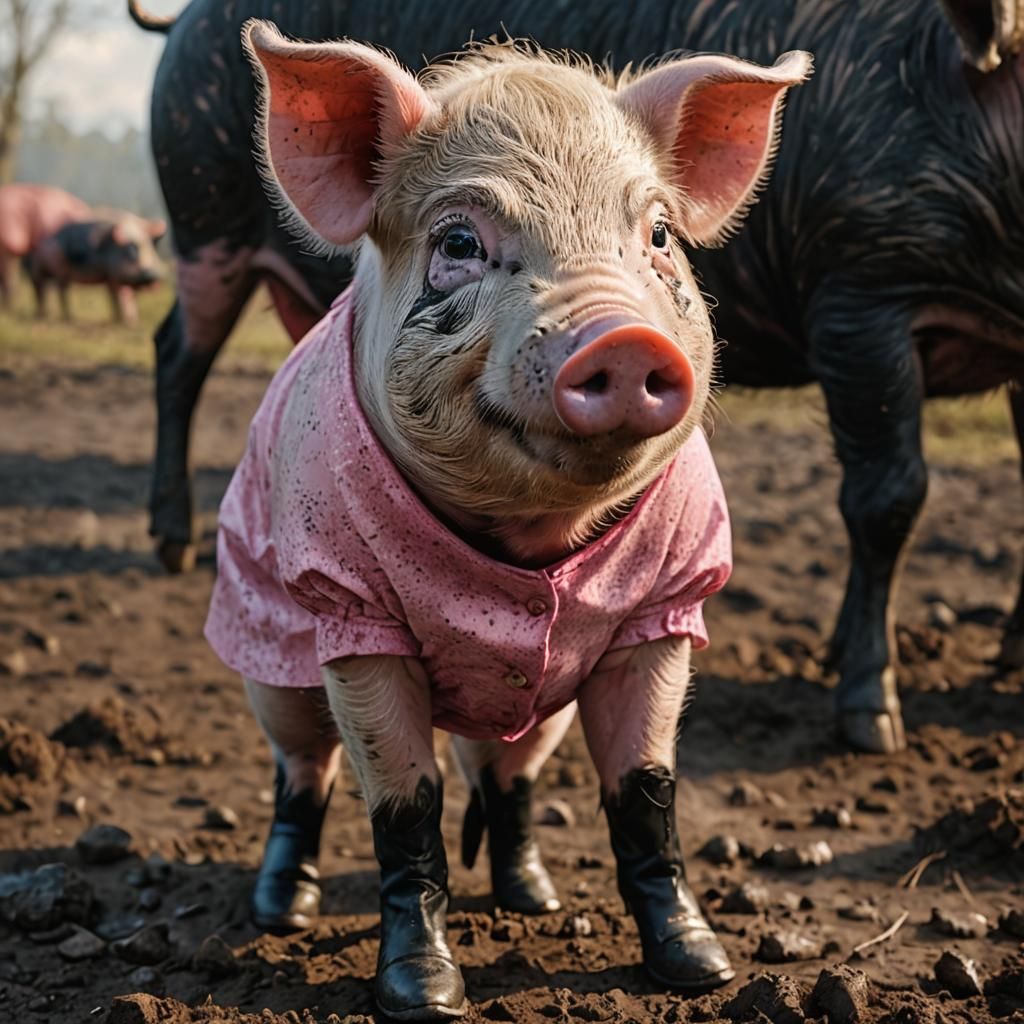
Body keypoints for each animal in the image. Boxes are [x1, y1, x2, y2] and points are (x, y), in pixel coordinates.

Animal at [24, 213, 167, 325]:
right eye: (131, 253)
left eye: (151, 250)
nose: (150, 275)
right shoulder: (112, 275)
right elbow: (116, 296)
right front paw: (121, 322)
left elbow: (128, 297)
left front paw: (132, 322)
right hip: (54, 268)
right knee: (56, 290)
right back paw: (65, 318)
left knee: (45, 290)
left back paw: (46, 315)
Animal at [130, 0, 1024, 756]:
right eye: (458, 243)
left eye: (661, 233)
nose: (624, 340)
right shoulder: (860, 288)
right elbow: (888, 496)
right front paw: (873, 727)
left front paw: (1002, 664)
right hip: (202, 222)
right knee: (176, 355)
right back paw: (172, 548)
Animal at [201, 20, 810, 1020]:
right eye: (458, 239)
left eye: (657, 235)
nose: (622, 340)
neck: (527, 543)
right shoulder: (351, 610)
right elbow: (405, 804)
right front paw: (424, 995)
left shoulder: (668, 604)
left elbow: (645, 788)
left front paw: (700, 969)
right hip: (268, 662)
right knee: (304, 772)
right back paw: (279, 911)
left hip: (542, 708)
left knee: (508, 779)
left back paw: (534, 897)